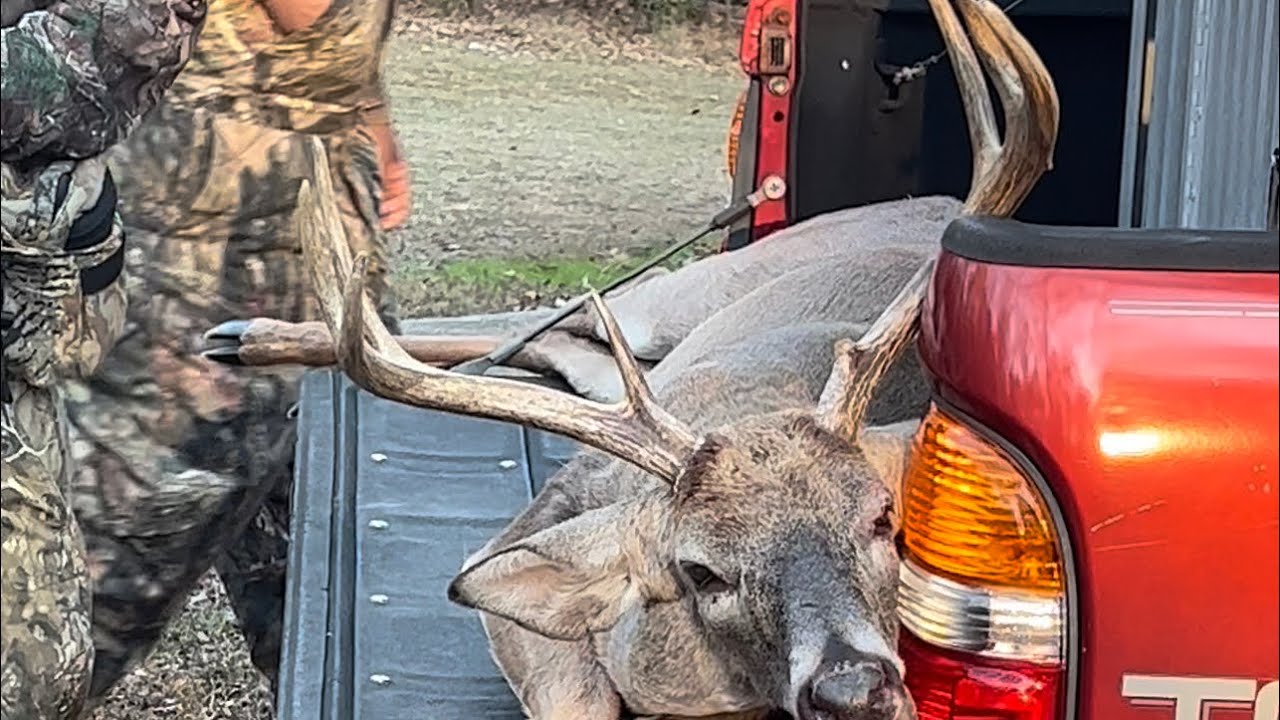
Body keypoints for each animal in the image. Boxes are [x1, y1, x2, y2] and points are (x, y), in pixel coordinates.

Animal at [218, 1, 1058, 717]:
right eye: (703, 570)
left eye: (885, 519)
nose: (853, 690)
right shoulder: (540, 522)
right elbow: (573, 690)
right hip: (701, 288)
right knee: (574, 311)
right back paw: (247, 333)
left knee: (565, 345)